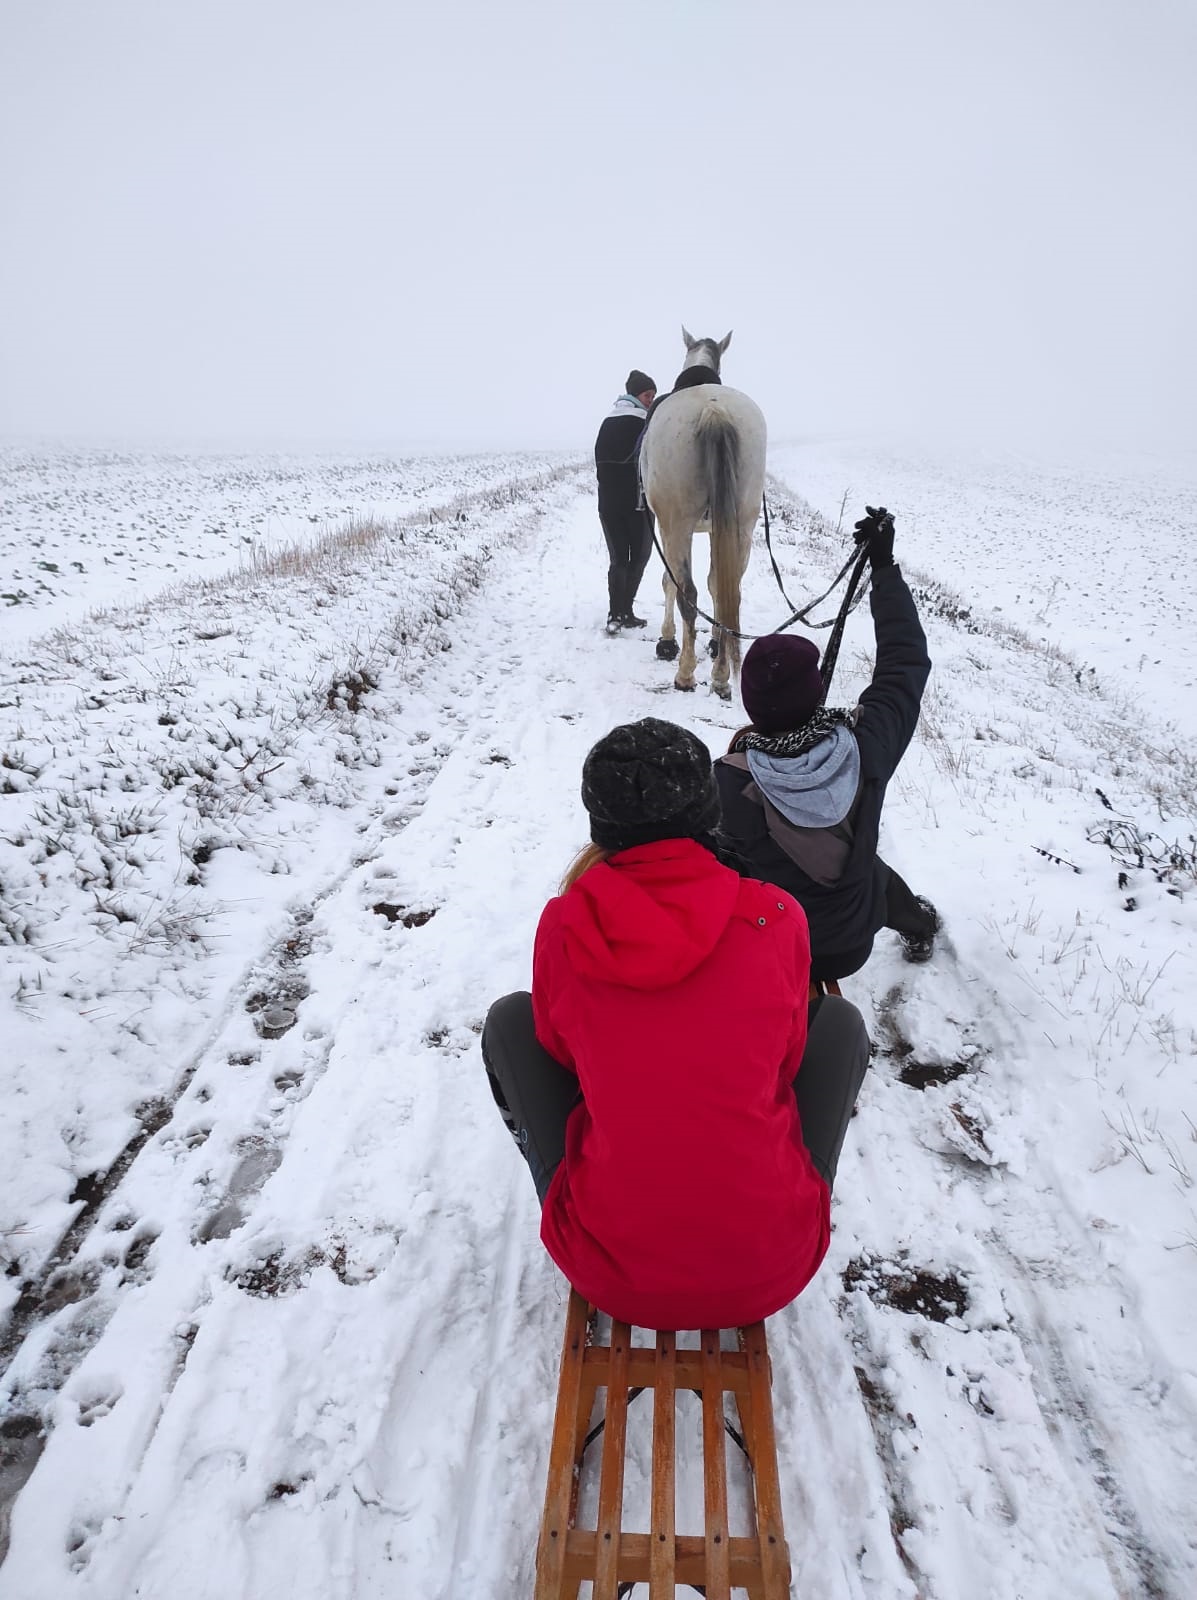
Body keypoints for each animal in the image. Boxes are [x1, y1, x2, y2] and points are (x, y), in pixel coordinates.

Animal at [636, 324, 768, 694]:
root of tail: (714, 410)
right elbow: (716, 585)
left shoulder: (664, 525)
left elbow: (669, 582)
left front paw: (667, 641)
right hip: (743, 523)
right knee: (728, 592)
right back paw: (721, 675)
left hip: (677, 523)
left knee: (687, 591)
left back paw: (685, 673)